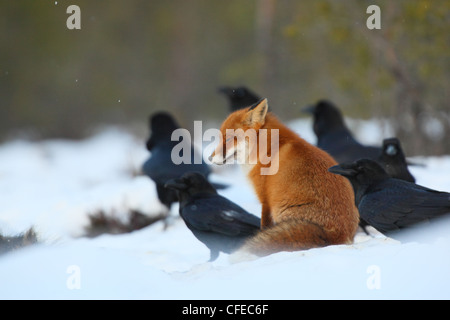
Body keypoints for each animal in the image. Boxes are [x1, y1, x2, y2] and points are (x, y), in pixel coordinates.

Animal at [209, 99, 360, 256]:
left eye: (228, 138)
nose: (209, 158)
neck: (265, 149)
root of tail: (337, 235)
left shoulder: (265, 200)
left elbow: (263, 227)